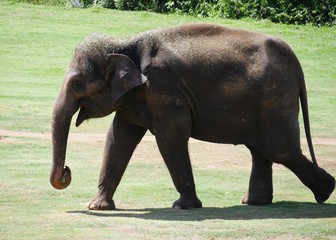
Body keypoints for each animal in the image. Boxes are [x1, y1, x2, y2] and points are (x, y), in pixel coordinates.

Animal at [49, 23, 334, 210]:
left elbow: (170, 139)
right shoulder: (136, 97)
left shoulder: (164, 89)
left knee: (280, 150)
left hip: (275, 100)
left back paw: (325, 191)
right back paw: (255, 202)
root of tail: (294, 59)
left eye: (77, 85)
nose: (66, 172)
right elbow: (118, 139)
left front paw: (183, 206)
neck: (124, 44)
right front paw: (98, 207)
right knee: (261, 150)